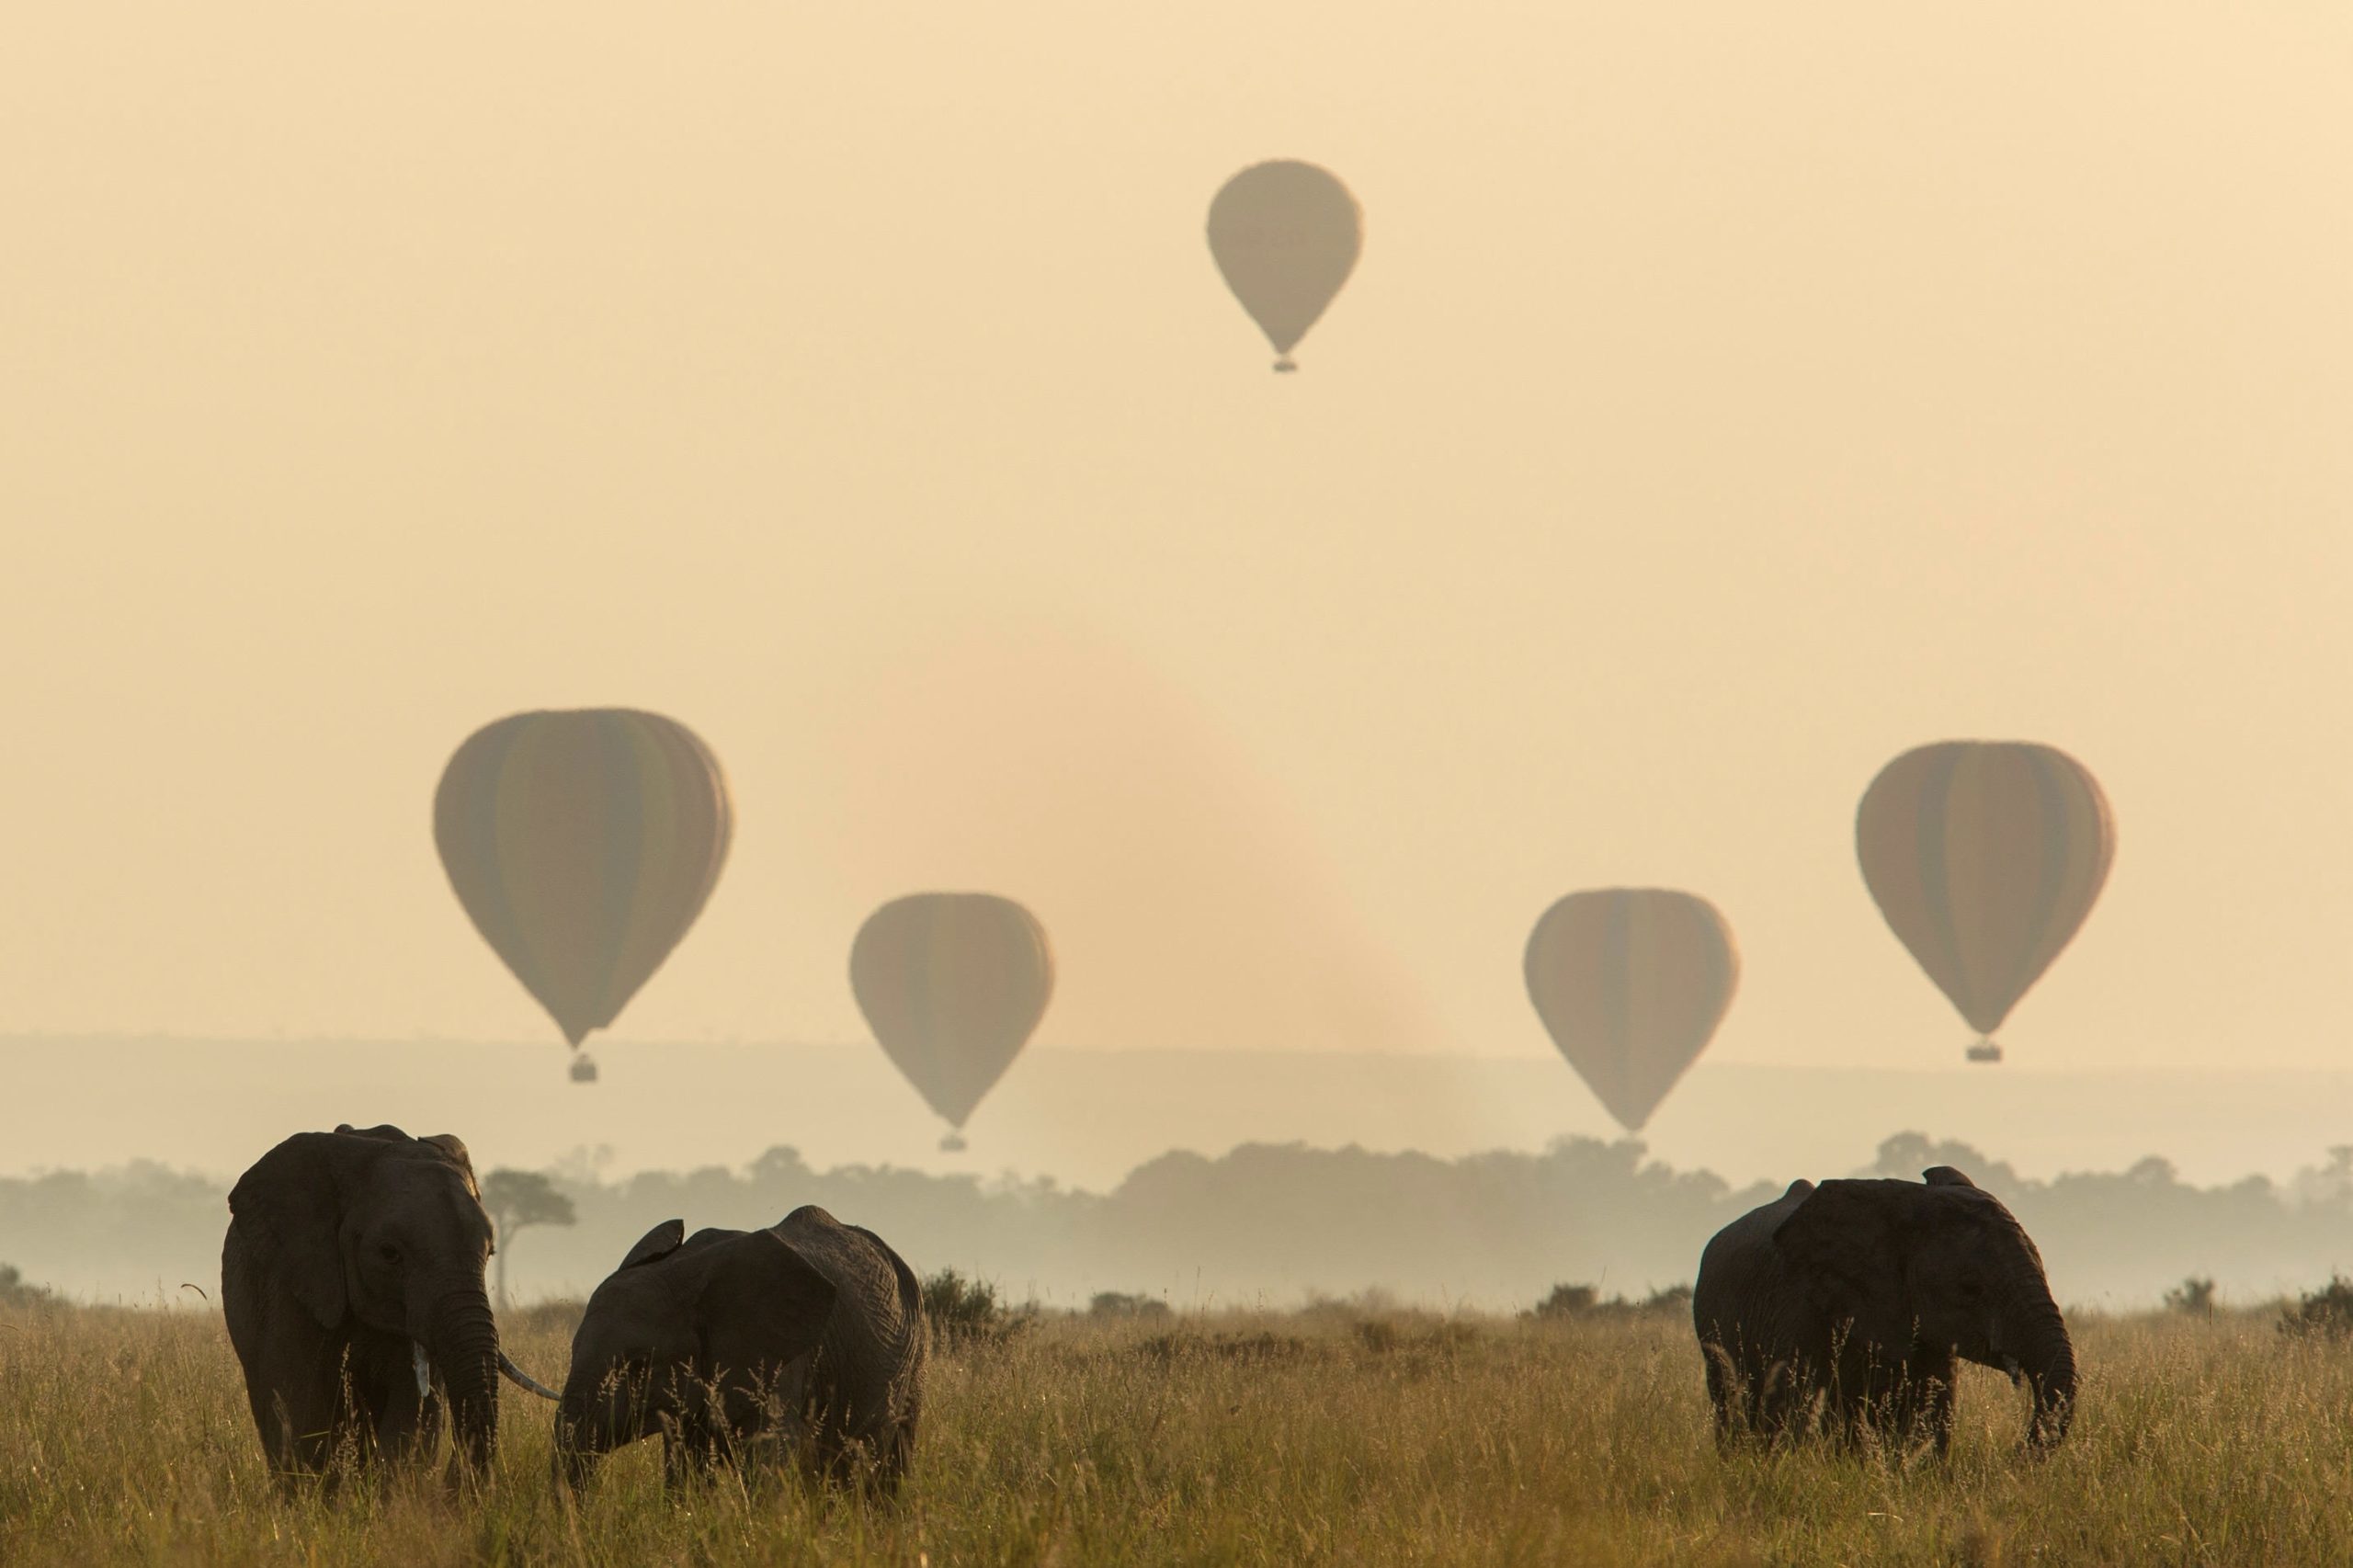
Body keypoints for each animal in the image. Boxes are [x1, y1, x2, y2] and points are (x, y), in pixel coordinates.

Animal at [557, 1196, 926, 1487]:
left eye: (638, 1365)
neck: (682, 1273)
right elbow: (685, 1470)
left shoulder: (779, 1358)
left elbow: (768, 1461)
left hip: (915, 1355)